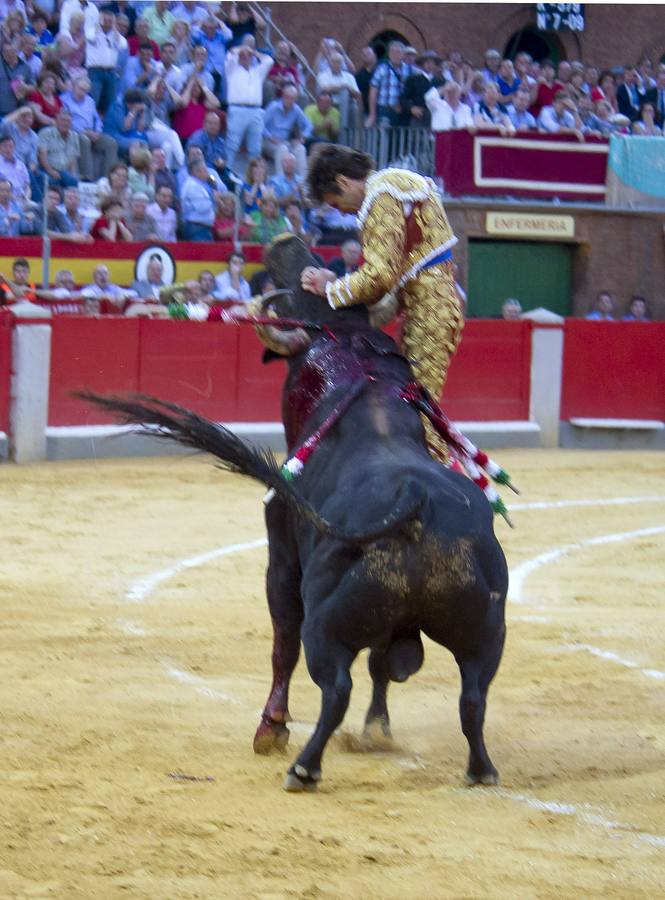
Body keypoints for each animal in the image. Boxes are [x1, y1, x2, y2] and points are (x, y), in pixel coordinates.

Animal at [83, 236, 508, 792]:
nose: (288, 243)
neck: (363, 382)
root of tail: (420, 505)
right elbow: (383, 666)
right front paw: (376, 731)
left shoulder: (280, 558)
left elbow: (282, 642)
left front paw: (271, 729)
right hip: (487, 631)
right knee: (472, 695)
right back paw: (481, 769)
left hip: (328, 623)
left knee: (335, 685)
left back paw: (303, 765)